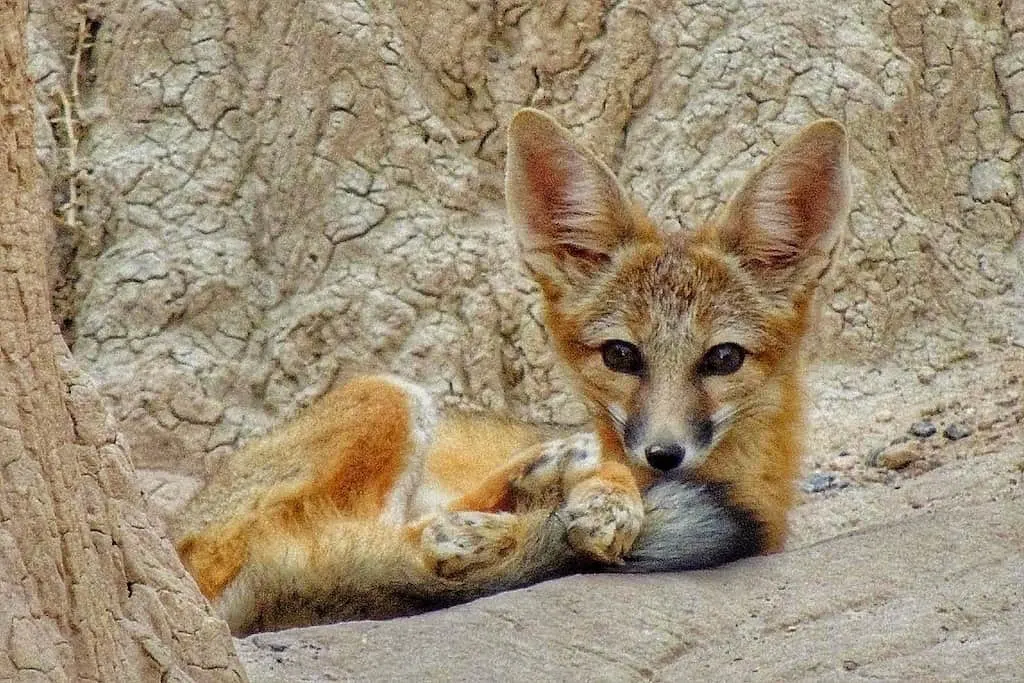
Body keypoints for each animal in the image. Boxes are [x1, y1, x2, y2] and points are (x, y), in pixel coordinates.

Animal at [174, 107, 847, 634]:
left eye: (723, 358)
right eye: (621, 356)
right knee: (320, 543)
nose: (663, 455)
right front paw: (605, 498)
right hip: (390, 394)